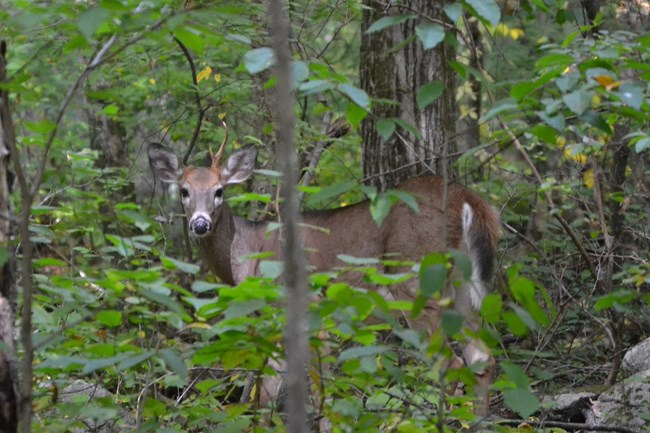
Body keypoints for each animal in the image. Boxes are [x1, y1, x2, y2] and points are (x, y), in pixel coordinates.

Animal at [149, 138, 498, 416]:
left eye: (219, 191)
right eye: (184, 191)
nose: (200, 224)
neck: (247, 256)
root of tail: (467, 199)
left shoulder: (304, 309)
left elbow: (304, 391)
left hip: (416, 282)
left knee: (452, 365)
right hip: (460, 288)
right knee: (482, 358)